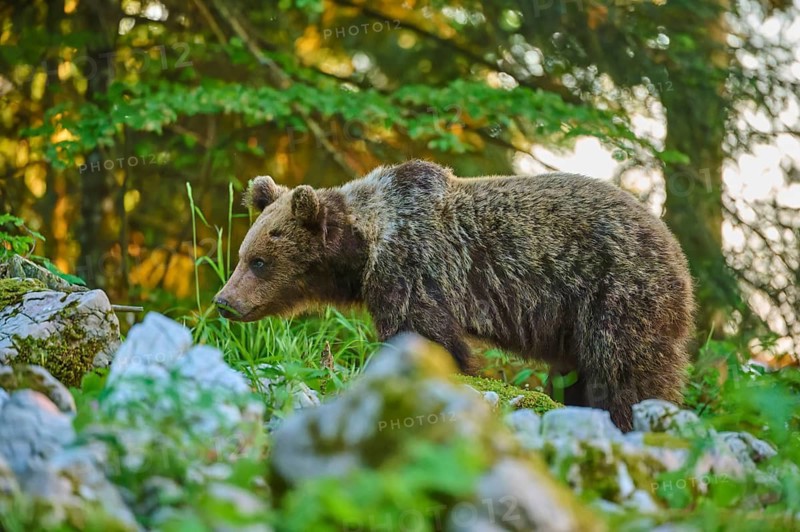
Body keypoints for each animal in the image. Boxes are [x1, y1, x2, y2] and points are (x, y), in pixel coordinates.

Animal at [214, 159, 695, 430]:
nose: (224, 301)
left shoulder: (411, 266)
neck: (364, 244)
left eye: (259, 261)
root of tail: (676, 248)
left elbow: (425, 335)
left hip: (616, 292)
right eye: (242, 255)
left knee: (623, 370)